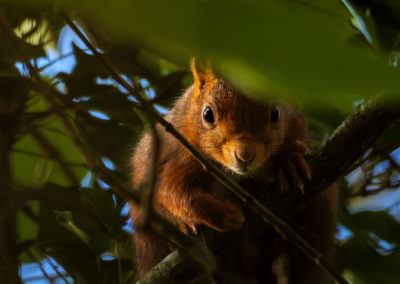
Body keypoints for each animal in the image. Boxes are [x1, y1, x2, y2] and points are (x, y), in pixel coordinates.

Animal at [131, 59, 338, 282]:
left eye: (276, 113)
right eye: (208, 114)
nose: (244, 154)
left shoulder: (299, 133)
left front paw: (289, 162)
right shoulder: (178, 152)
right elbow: (166, 190)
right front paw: (221, 214)